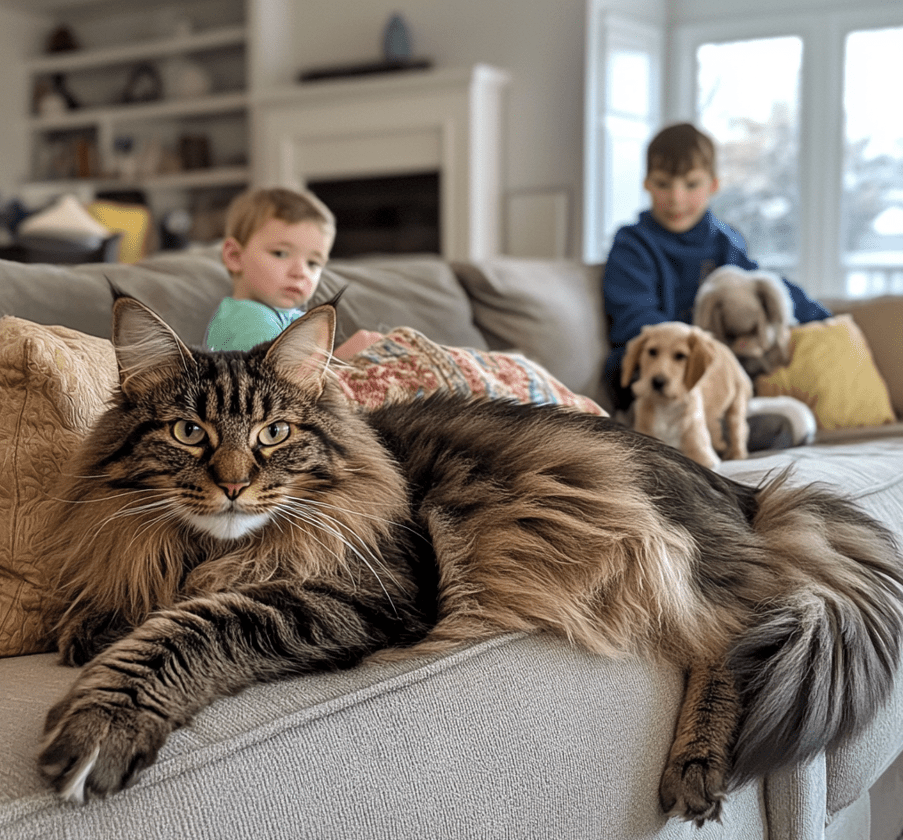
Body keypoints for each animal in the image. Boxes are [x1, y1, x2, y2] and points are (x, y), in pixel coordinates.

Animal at [620, 322, 756, 470]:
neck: (667, 406)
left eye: (680, 356)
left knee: (738, 428)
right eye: (652, 351)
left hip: (737, 401)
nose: (658, 382)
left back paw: (737, 453)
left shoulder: (703, 455)